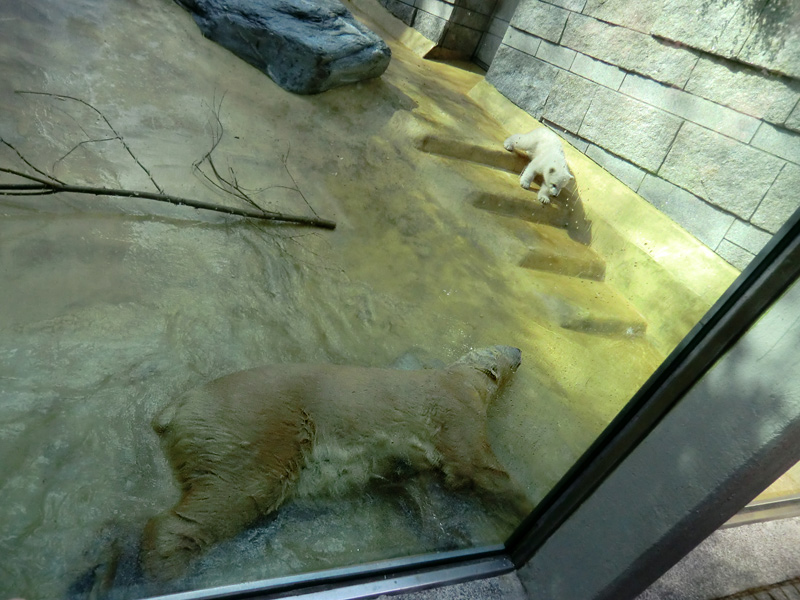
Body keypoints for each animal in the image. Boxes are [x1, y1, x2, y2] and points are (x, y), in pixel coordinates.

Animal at [142, 346, 532, 580]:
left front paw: (447, 532)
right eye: (507, 350)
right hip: (254, 424)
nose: (519, 350)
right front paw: (522, 503)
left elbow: (411, 482)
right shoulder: (453, 409)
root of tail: (175, 408)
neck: (462, 378)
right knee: (237, 491)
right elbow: (476, 464)